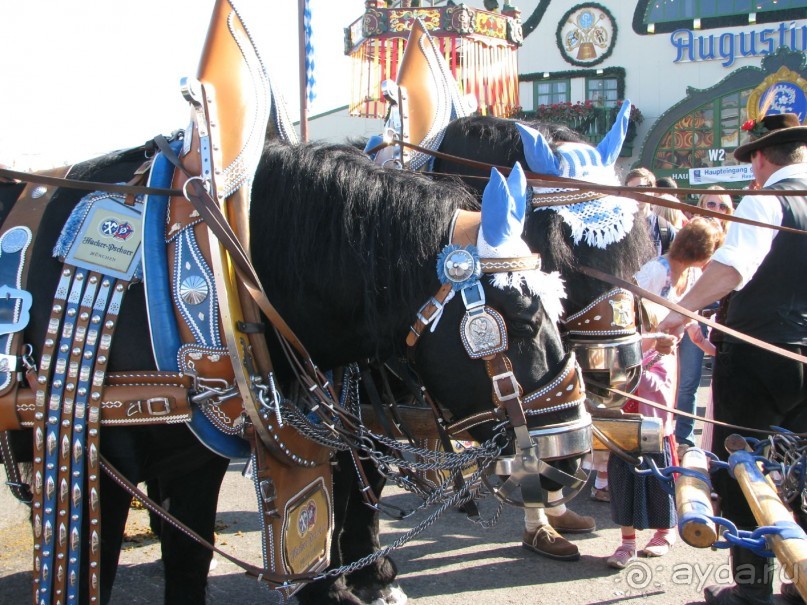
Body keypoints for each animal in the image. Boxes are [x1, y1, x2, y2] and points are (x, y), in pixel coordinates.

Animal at [3, 139, 576, 600]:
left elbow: (194, 562)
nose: (569, 455)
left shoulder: (201, 462)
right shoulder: (96, 467)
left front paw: (357, 580)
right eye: (522, 321)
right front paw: (350, 584)